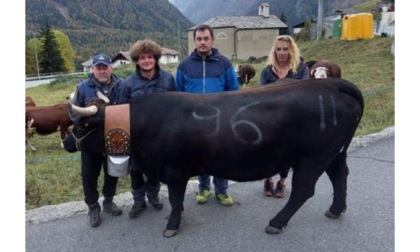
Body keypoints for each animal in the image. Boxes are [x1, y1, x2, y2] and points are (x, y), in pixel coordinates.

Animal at [69, 79, 364, 238]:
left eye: (83, 125)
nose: (66, 141)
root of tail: (330, 83)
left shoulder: (175, 170)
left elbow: (174, 200)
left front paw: (172, 225)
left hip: (313, 158)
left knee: (303, 190)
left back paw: (276, 223)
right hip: (334, 154)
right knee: (340, 176)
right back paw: (336, 209)